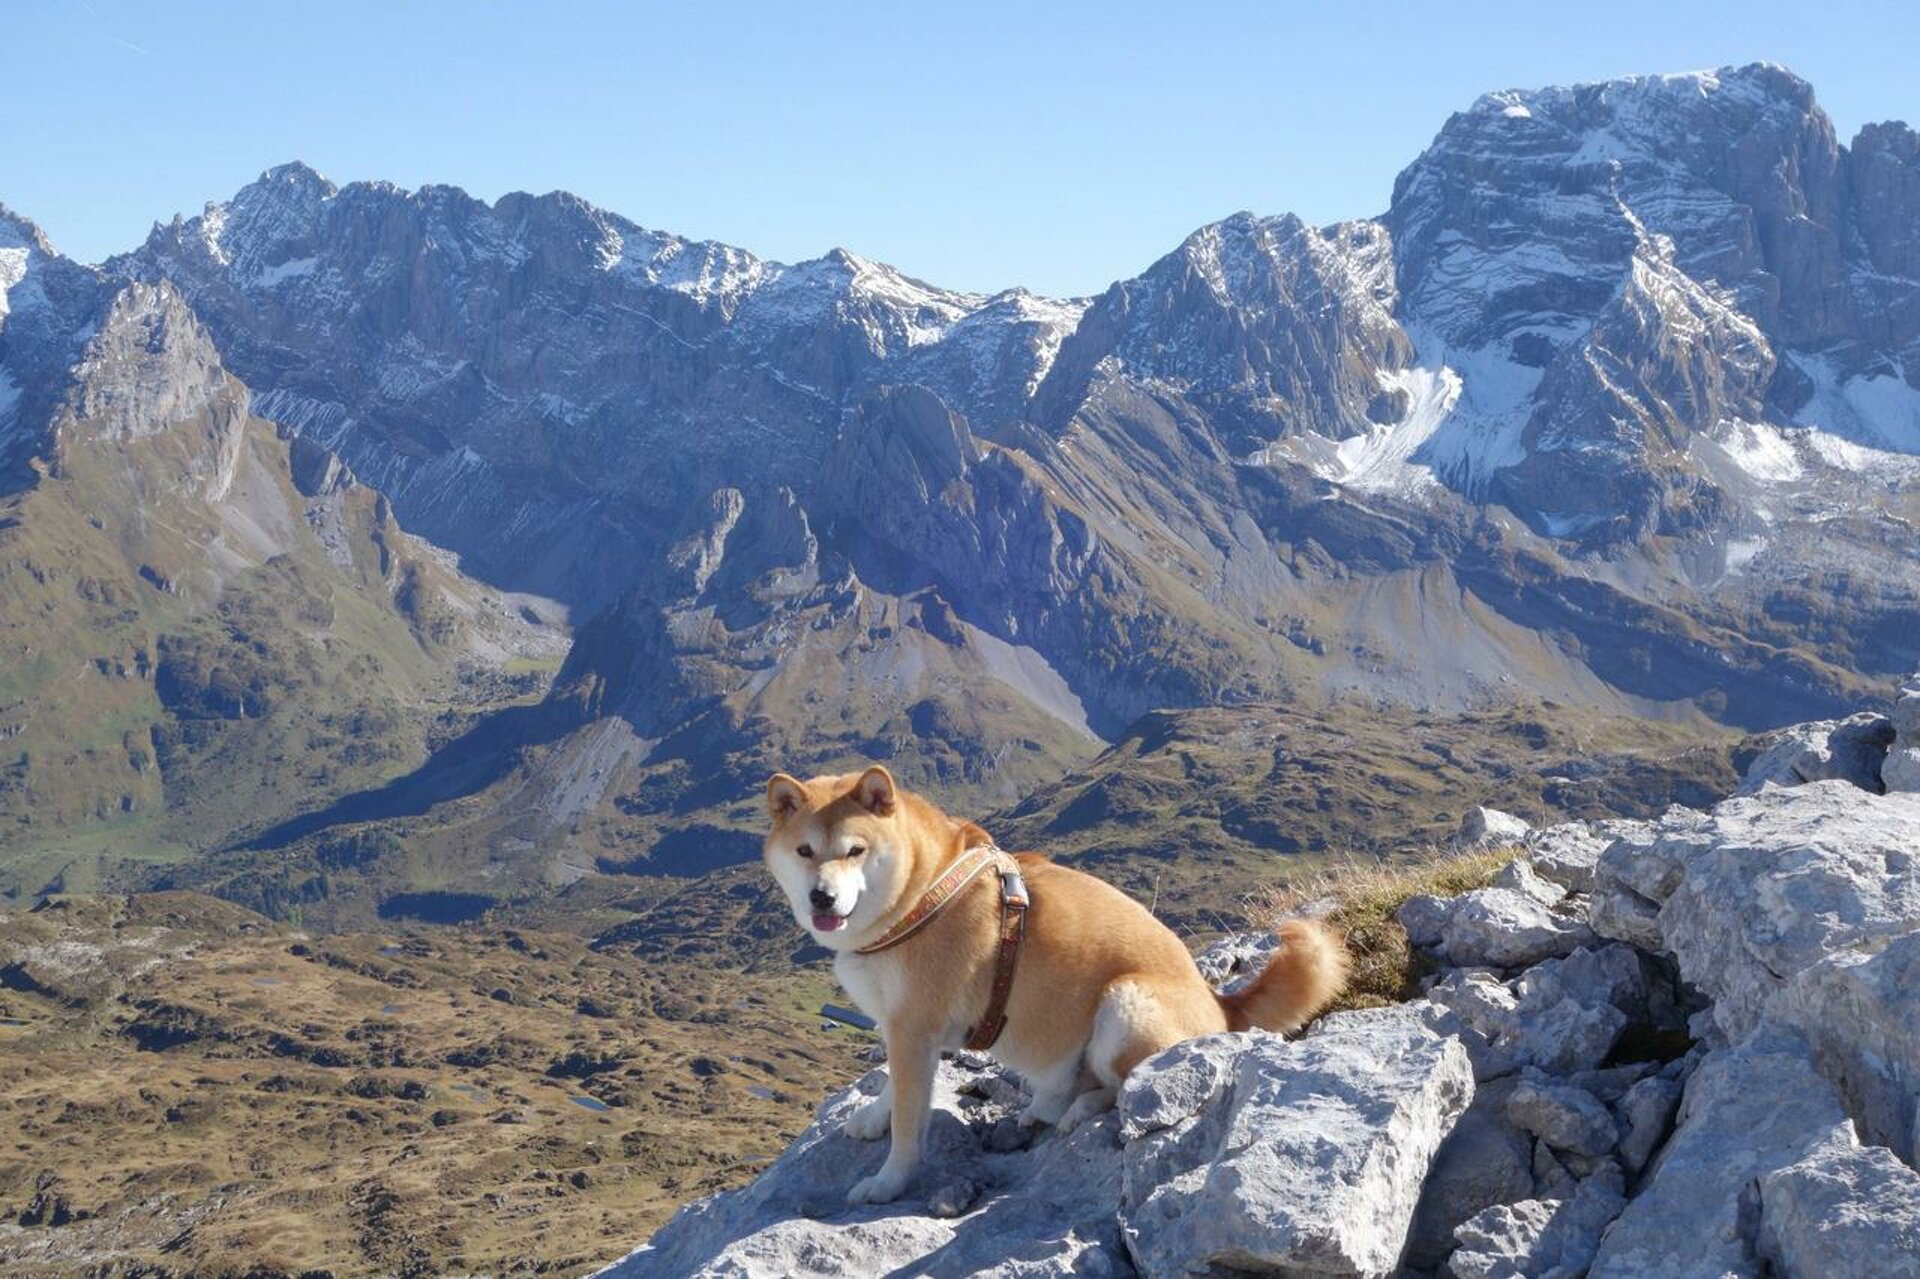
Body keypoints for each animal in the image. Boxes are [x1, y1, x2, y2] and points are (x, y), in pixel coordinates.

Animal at [764, 760, 1351, 1198]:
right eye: (805, 851)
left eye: (855, 850)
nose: (822, 897)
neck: (919, 893)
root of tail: (1223, 1005)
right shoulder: (905, 1030)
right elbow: (894, 1086)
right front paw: (872, 1117)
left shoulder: (916, 1027)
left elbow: (910, 1124)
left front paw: (890, 1182)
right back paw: (1047, 1103)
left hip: (1123, 1003)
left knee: (1123, 1090)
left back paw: (1074, 1110)